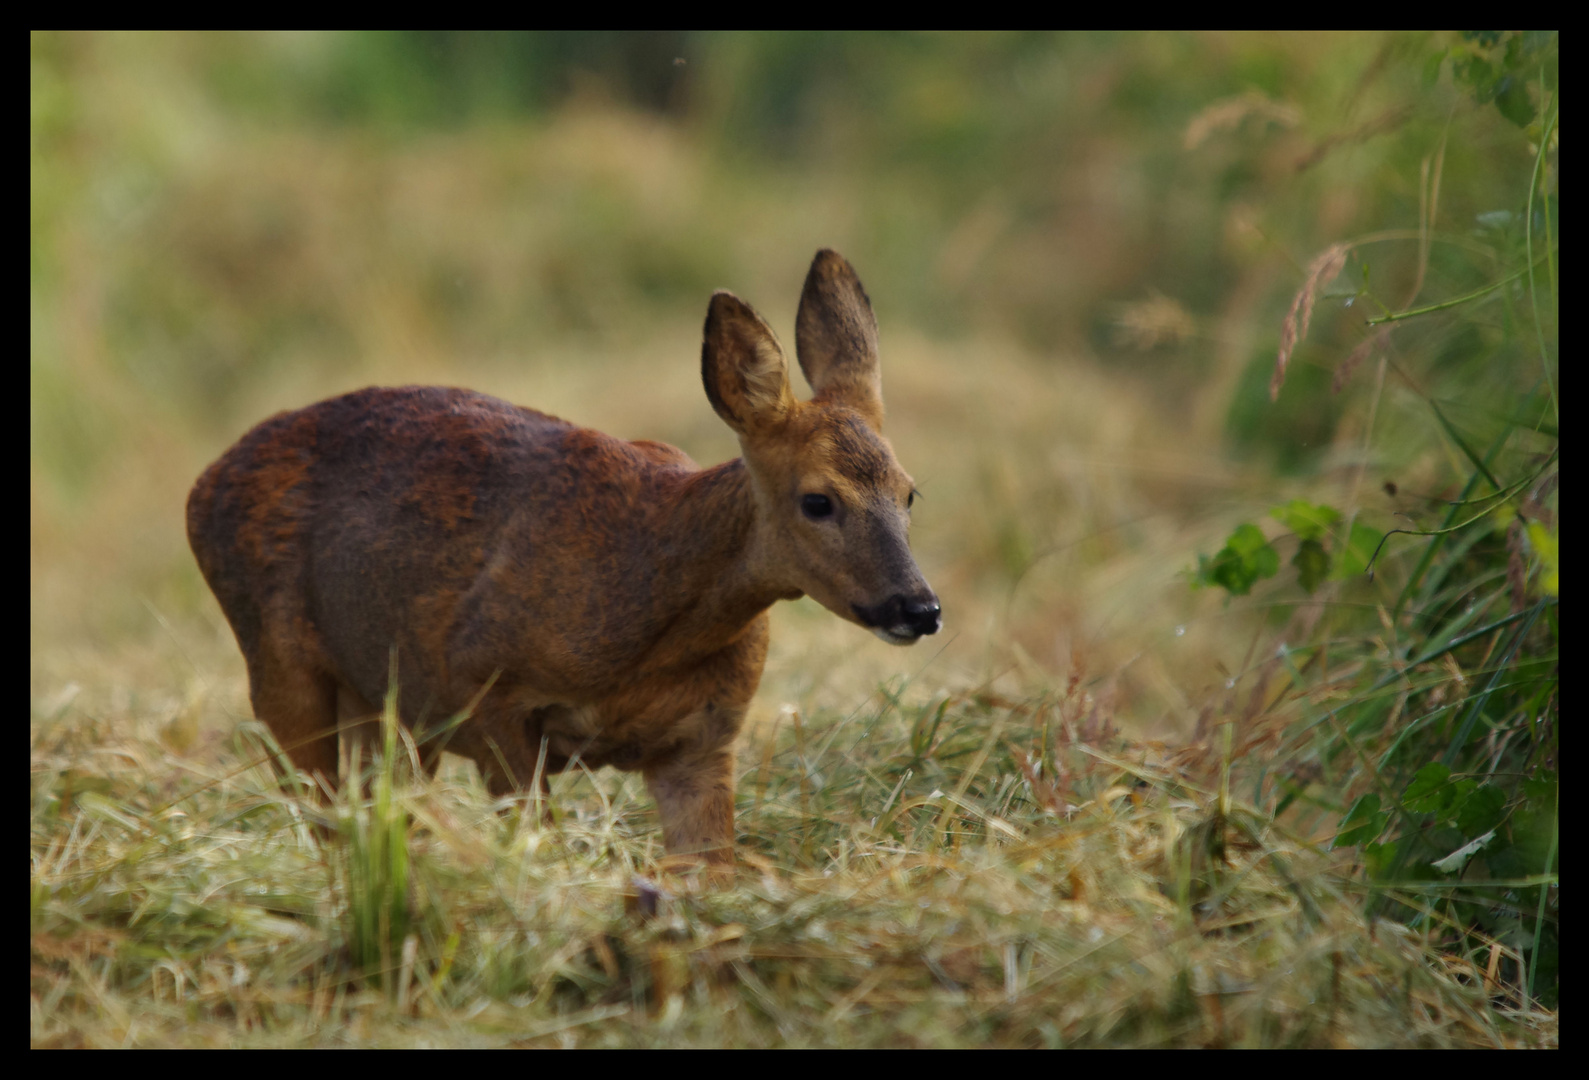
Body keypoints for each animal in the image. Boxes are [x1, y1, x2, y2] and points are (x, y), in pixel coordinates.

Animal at [187, 249, 934, 864]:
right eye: (818, 500)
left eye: (910, 491)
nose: (919, 606)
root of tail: (204, 483)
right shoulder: (481, 682)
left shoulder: (703, 740)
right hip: (279, 662)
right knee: (323, 812)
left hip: (382, 706)